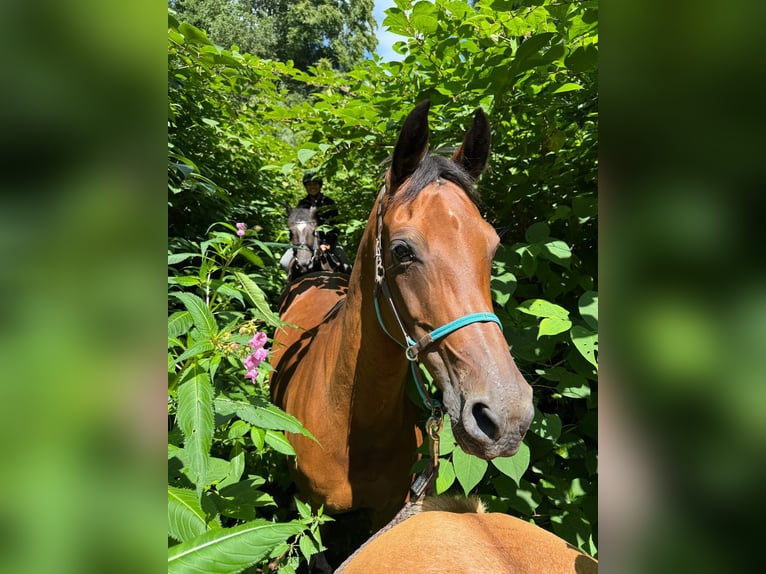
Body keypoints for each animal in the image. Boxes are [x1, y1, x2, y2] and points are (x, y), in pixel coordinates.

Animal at [270, 100, 535, 563]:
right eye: (402, 250)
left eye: (492, 247)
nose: (507, 417)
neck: (348, 419)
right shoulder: (309, 514)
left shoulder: (386, 515)